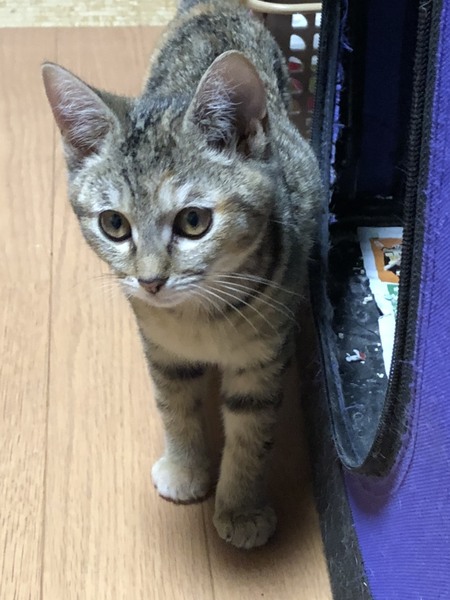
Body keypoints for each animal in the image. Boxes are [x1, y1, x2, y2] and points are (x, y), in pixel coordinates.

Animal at [42, 0, 321, 549]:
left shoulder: (263, 357)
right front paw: (187, 468)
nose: (150, 281)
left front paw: (240, 506)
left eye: (194, 221)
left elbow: (252, 430)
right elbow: (175, 407)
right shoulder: (162, 350)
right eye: (113, 224)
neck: (200, 318)